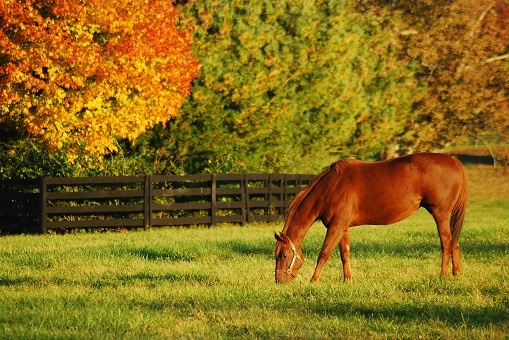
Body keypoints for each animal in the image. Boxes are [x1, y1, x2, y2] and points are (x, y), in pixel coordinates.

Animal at [274, 153, 468, 282]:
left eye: (284, 255)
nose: (279, 281)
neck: (331, 188)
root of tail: (453, 160)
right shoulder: (342, 227)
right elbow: (345, 254)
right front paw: (348, 279)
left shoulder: (336, 227)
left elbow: (324, 254)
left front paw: (313, 280)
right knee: (454, 242)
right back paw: (457, 273)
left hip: (440, 213)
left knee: (446, 242)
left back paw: (443, 274)